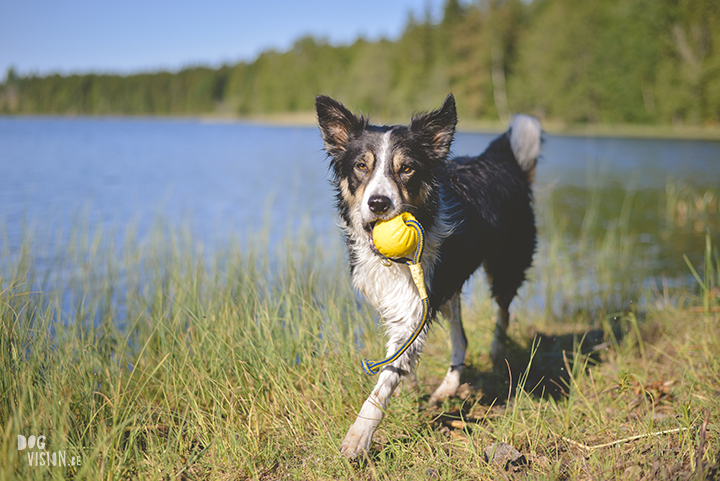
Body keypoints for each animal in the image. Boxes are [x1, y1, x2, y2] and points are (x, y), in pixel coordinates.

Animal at [316, 94, 540, 458]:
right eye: (361, 166)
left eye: (407, 168)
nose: (378, 203)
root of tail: (502, 163)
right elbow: (400, 360)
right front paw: (408, 387)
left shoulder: (416, 306)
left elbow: (383, 384)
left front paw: (359, 436)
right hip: (448, 285)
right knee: (461, 338)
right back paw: (448, 387)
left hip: (505, 265)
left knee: (503, 310)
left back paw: (496, 351)